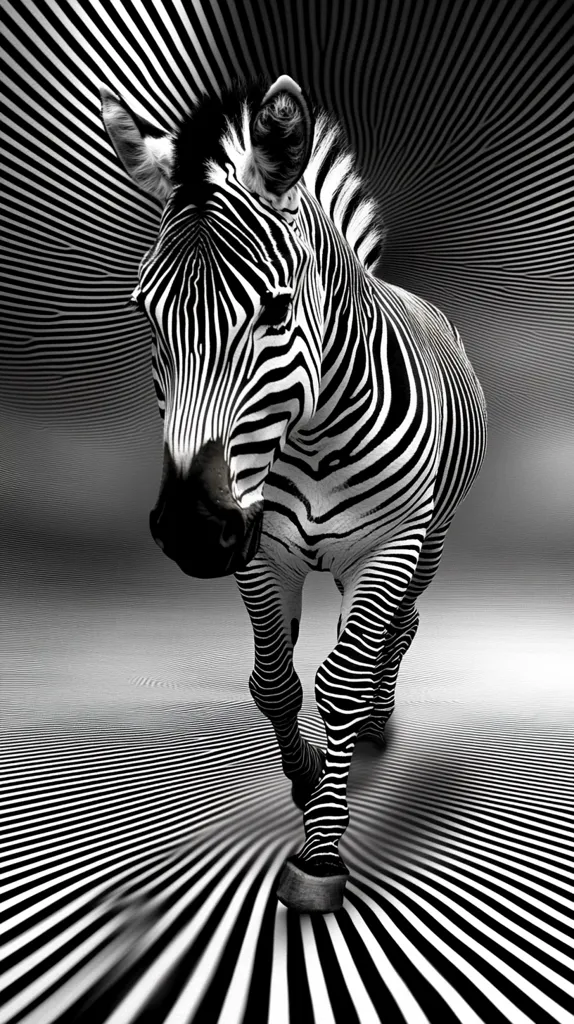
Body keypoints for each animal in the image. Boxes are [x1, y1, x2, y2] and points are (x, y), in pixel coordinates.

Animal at [100, 73, 487, 914]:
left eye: (276, 309)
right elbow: (273, 681)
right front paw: (308, 777)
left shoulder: (391, 543)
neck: (308, 437)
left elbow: (339, 681)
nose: (190, 529)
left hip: (432, 539)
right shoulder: (257, 547)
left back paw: (377, 720)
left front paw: (321, 851)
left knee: (401, 628)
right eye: (144, 310)